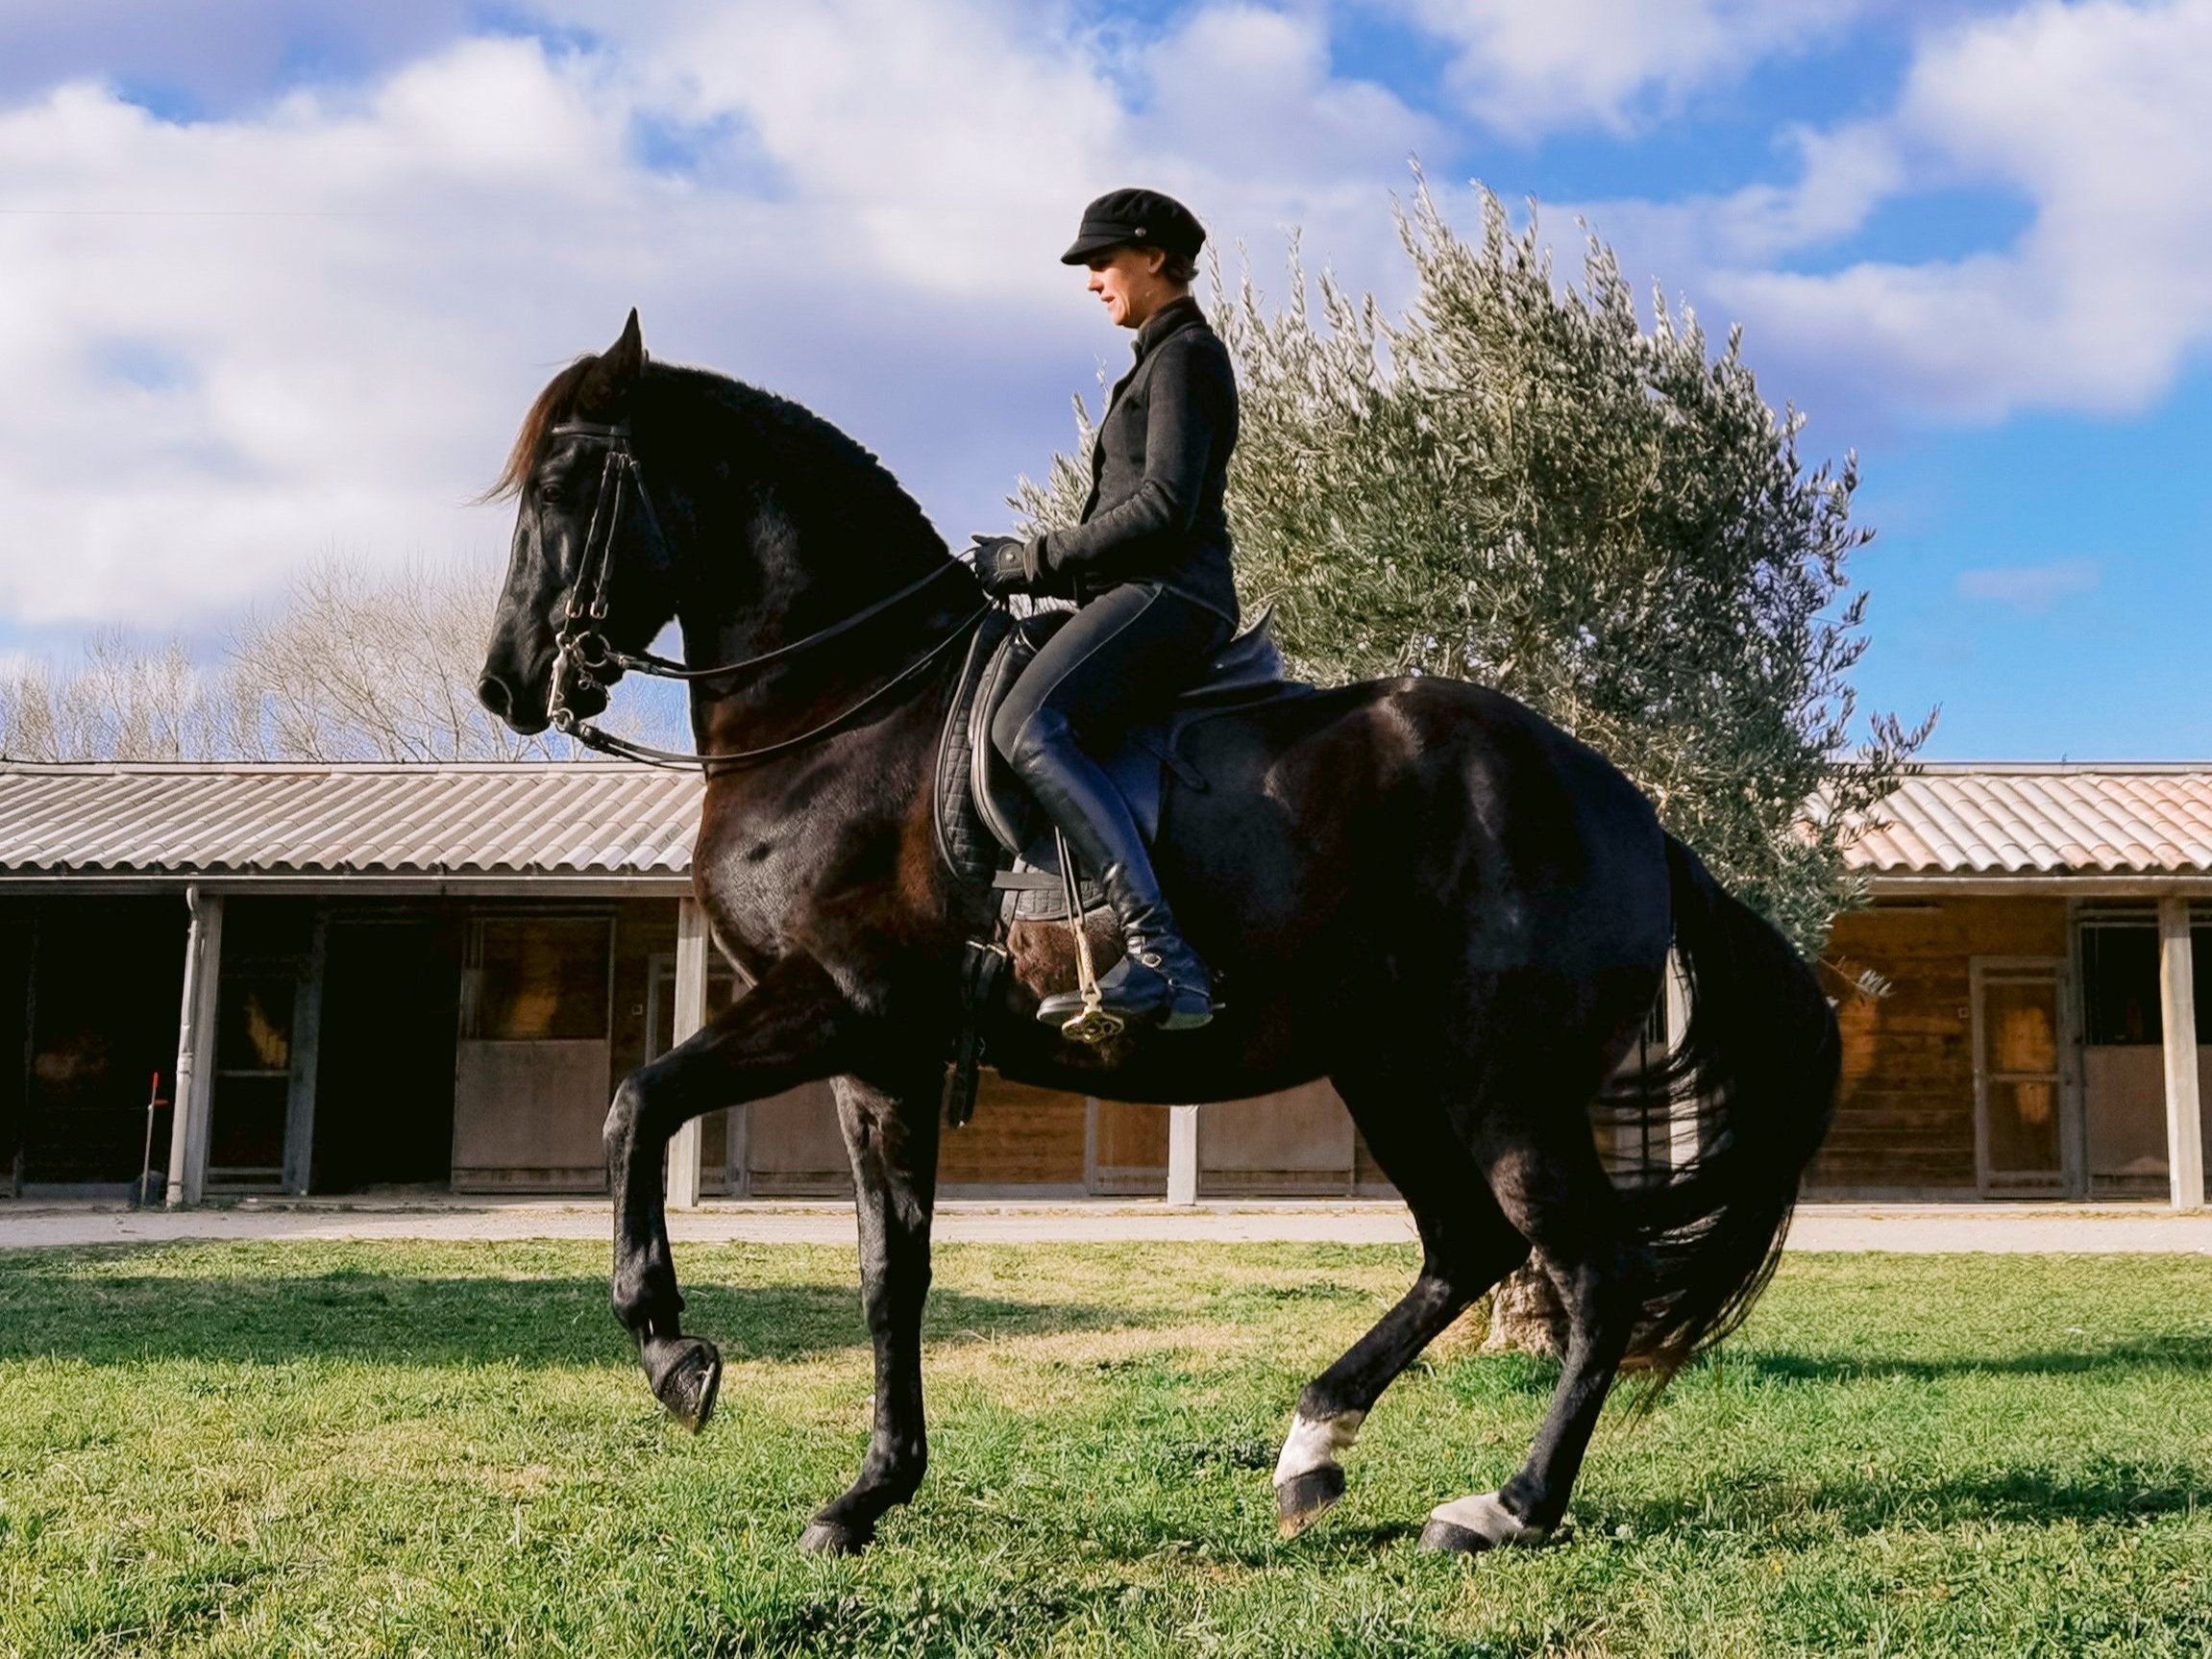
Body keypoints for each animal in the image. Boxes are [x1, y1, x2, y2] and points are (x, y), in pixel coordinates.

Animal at [475, 311, 1840, 1557]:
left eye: (561, 486)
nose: (506, 682)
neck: (848, 710)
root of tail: (1631, 810)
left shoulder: (835, 1004)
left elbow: (636, 1106)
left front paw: (675, 1356)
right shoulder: (879, 1059)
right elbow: (887, 1272)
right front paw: (868, 1493)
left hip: (1500, 1082)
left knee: (1593, 1271)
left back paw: (1506, 1505)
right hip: (1392, 1069)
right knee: (1469, 1244)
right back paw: (1311, 1448)